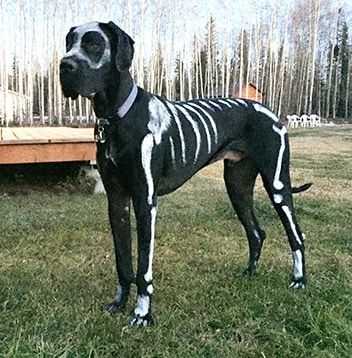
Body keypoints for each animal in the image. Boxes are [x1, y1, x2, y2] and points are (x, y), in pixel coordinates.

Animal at [60, 21, 310, 326]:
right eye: (69, 43)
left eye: (95, 44)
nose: (64, 65)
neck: (118, 116)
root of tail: (270, 112)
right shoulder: (117, 201)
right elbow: (123, 262)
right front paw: (119, 303)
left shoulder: (145, 202)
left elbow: (143, 268)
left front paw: (142, 313)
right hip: (237, 188)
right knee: (256, 232)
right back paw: (250, 273)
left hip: (277, 187)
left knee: (296, 235)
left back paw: (299, 279)